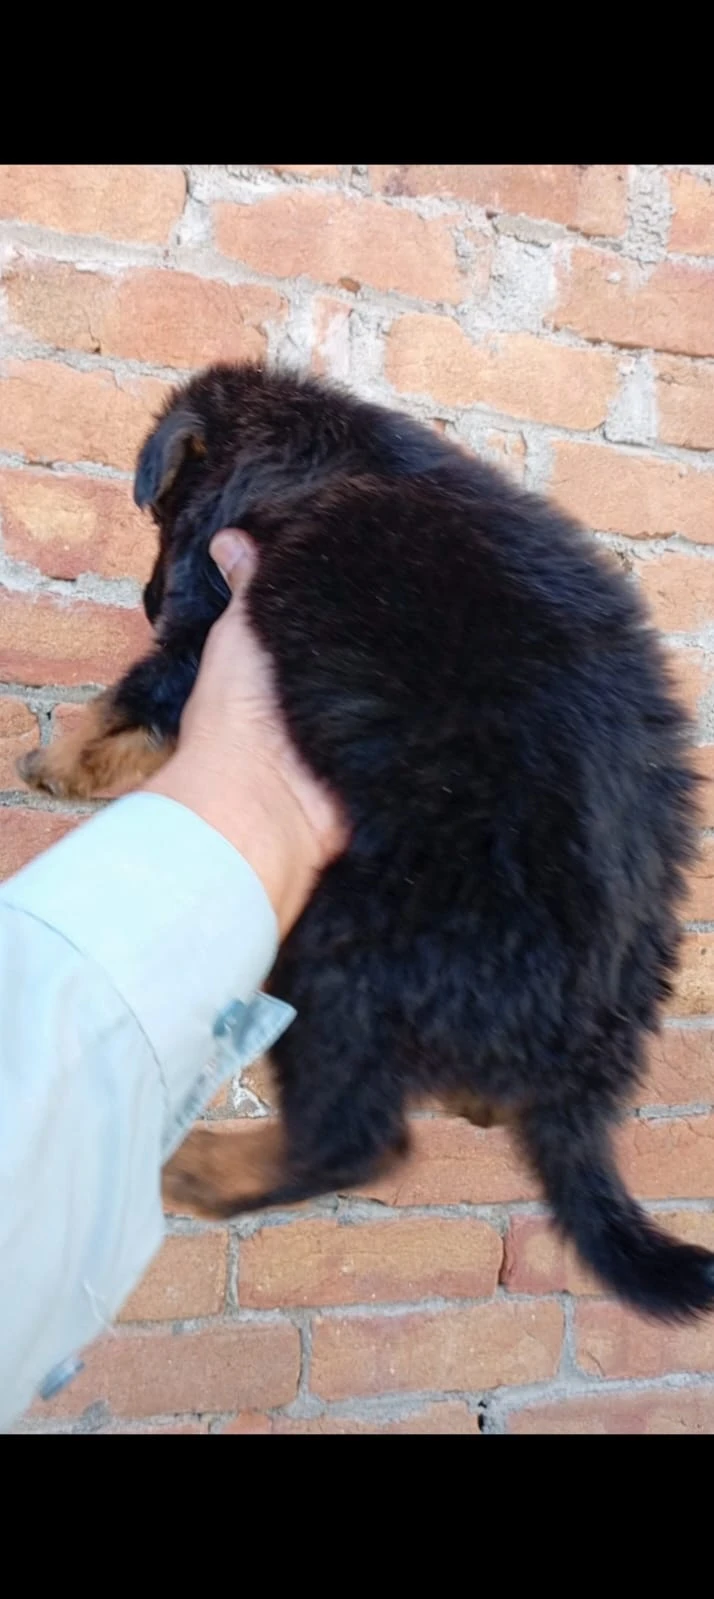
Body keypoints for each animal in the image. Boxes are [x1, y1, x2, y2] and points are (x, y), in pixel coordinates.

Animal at [19, 366, 712, 1323]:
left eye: (160, 518)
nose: (148, 599)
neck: (324, 450)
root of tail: (581, 1064)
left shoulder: (211, 621)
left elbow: (133, 695)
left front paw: (57, 761)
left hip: (340, 951)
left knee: (356, 1140)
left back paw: (203, 1168)